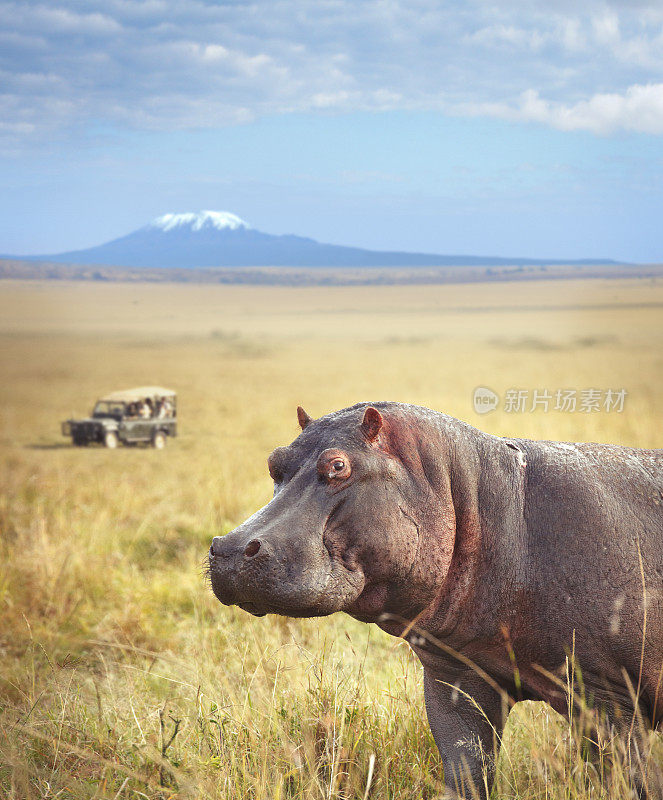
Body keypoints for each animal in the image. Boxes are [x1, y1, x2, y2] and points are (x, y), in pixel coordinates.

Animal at [209, 404, 663, 796]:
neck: (485, 501)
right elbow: (466, 770)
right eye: (274, 461)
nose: (228, 548)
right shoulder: (456, 676)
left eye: (338, 465)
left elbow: (628, 779)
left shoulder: (609, 694)